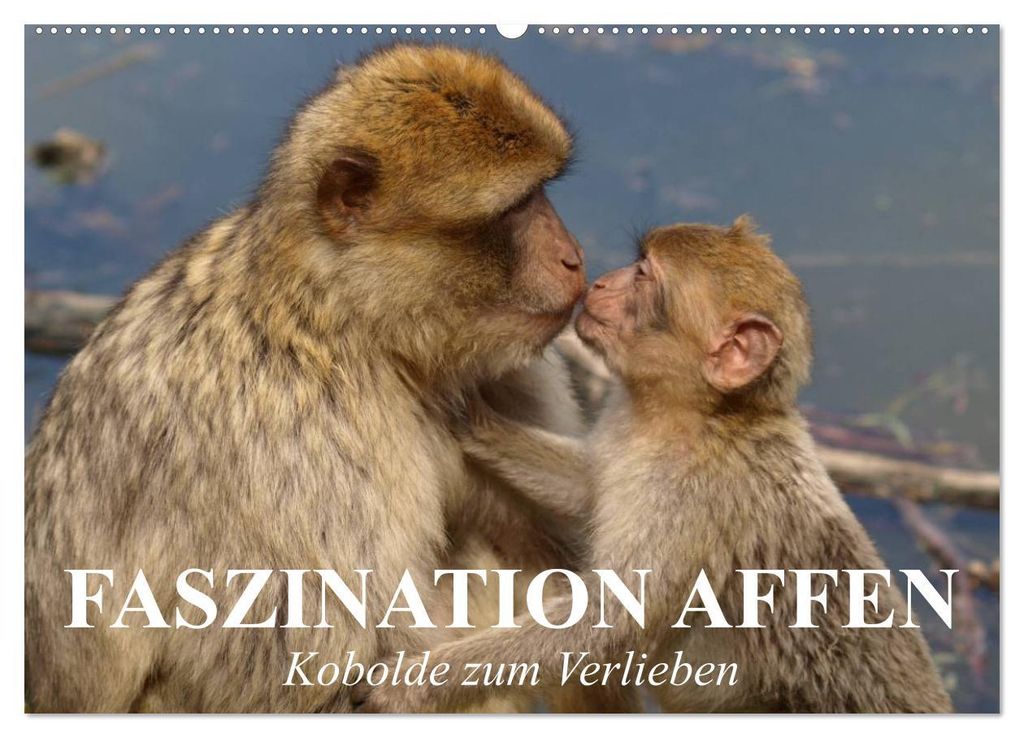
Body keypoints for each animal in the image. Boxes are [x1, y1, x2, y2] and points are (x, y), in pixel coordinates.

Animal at [25, 44, 613, 713]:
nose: (573, 257)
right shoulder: (298, 445)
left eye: (544, 192)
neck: (345, 322)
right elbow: (308, 672)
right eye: (517, 207)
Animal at [355, 217, 954, 714]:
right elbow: (588, 487)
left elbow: (606, 623)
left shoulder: (689, 497)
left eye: (643, 275)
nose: (598, 281)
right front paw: (468, 416)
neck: (694, 417)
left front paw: (416, 683)